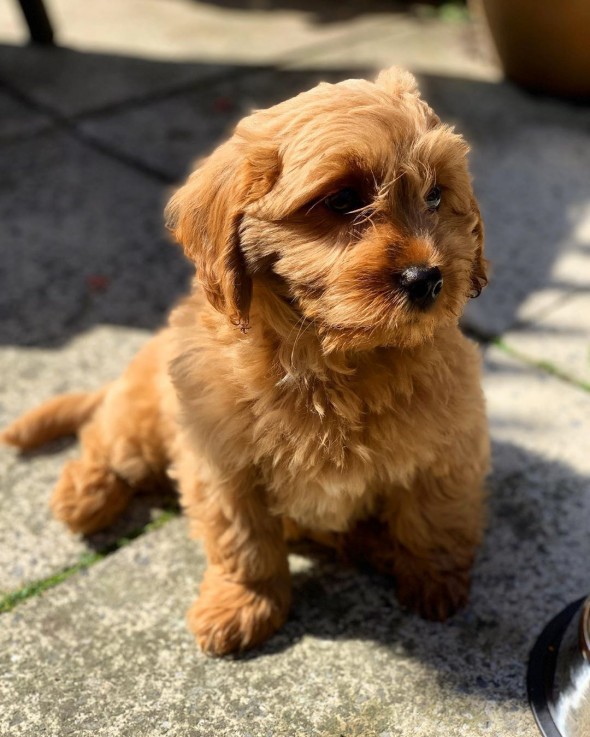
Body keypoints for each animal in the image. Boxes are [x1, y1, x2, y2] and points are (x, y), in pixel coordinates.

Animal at [3, 69, 490, 656]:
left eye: (436, 194)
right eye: (343, 200)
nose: (427, 279)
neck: (331, 357)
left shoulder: (446, 446)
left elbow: (435, 515)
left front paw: (434, 580)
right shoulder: (222, 464)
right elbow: (244, 543)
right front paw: (244, 605)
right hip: (139, 427)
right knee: (103, 441)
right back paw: (84, 494)